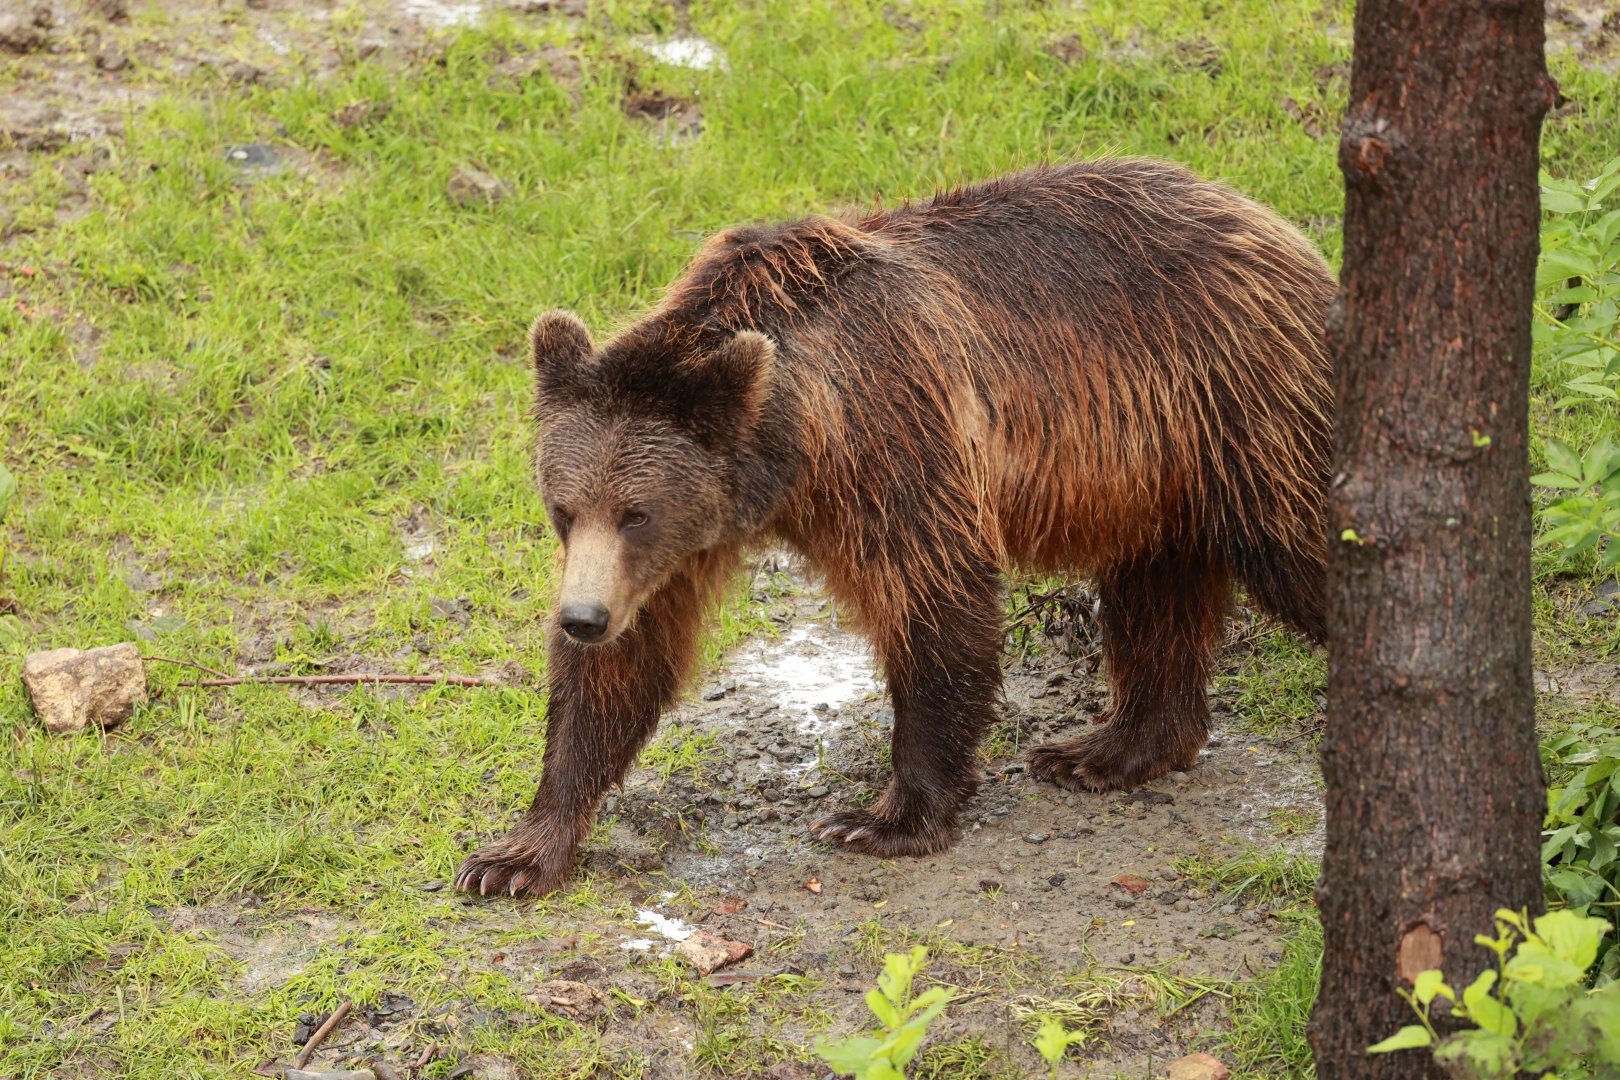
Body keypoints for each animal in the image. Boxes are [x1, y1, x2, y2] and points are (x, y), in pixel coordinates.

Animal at [454, 157, 1334, 898]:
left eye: (636, 512)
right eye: (564, 509)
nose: (582, 617)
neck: (793, 447)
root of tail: (1274, 223)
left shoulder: (893, 432)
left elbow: (933, 601)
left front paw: (884, 817)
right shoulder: (682, 543)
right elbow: (622, 673)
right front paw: (515, 854)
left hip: (1238, 401)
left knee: (1302, 543)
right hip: (1154, 465)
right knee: (1155, 589)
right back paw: (1108, 747)